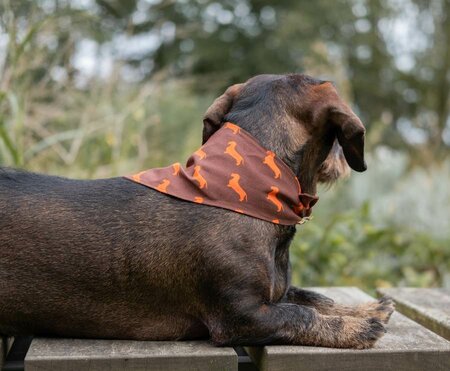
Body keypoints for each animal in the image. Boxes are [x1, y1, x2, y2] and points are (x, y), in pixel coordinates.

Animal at [0, 74, 394, 350]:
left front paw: (364, 310)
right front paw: (358, 327)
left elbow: (314, 296)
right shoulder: (242, 316)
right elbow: (300, 313)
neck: (249, 190)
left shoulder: (275, 296)